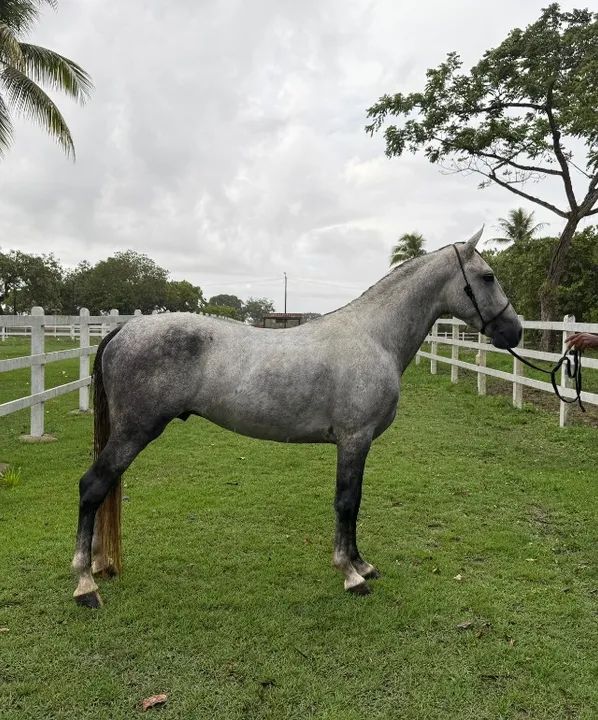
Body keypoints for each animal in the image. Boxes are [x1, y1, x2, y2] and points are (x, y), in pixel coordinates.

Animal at [72, 229, 522, 607]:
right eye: (487, 276)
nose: (514, 332)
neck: (373, 337)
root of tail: (123, 331)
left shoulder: (358, 444)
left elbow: (355, 503)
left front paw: (362, 565)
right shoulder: (354, 439)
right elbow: (346, 502)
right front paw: (350, 575)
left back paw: (96, 567)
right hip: (134, 432)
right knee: (93, 487)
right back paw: (85, 584)